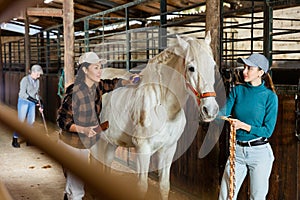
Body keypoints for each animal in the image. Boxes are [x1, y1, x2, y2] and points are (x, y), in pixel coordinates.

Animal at [90, 32, 219, 199]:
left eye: (213, 66)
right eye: (191, 68)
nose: (210, 110)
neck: (163, 107)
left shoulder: (169, 148)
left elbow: (164, 186)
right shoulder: (143, 149)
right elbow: (142, 186)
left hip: (111, 141)